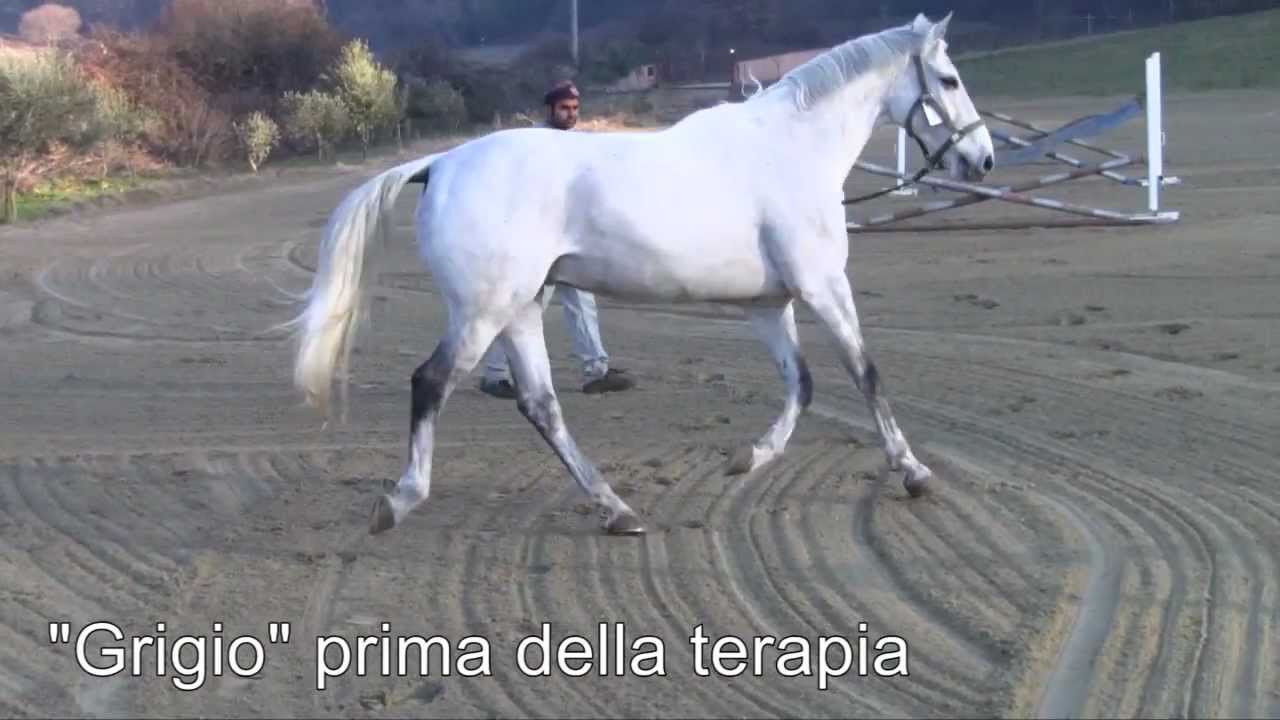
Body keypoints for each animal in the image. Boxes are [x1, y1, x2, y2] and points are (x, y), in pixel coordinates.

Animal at [284, 12, 995, 537]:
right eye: (950, 79)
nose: (983, 160)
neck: (791, 149)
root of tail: (442, 163)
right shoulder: (823, 286)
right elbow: (865, 373)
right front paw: (914, 471)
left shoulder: (769, 303)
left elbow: (803, 384)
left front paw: (747, 458)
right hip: (484, 309)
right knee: (431, 383)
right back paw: (400, 500)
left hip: (521, 308)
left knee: (541, 404)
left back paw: (616, 509)